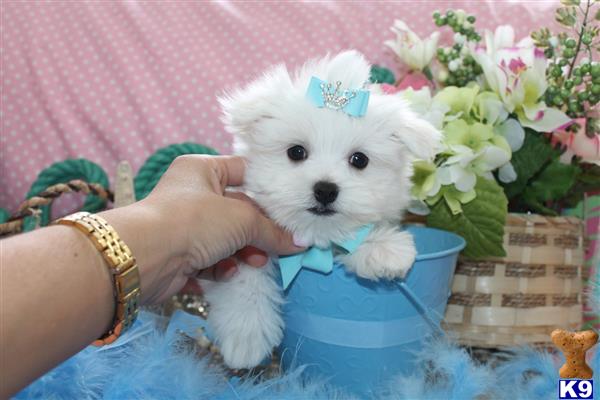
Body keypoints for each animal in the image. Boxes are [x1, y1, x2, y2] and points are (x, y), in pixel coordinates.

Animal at [202, 51, 440, 370]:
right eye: (296, 152)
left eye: (359, 160)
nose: (326, 190)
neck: (312, 234)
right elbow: (245, 275)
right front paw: (246, 337)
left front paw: (382, 249)